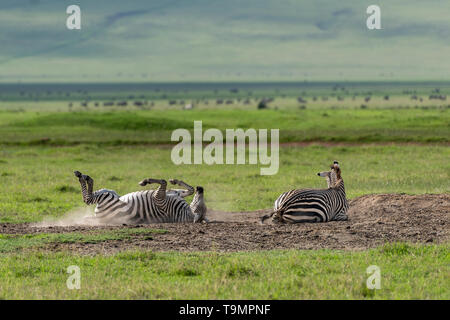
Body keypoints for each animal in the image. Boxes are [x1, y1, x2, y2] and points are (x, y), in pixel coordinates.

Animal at [74, 171, 207, 224]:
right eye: (200, 203)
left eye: (199, 207)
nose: (201, 188)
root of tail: (99, 218)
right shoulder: (173, 194)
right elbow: (189, 189)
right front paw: (175, 180)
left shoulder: (159, 199)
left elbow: (163, 182)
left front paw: (145, 181)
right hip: (111, 192)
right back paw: (84, 176)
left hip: (107, 197)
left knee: (88, 199)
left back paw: (82, 177)